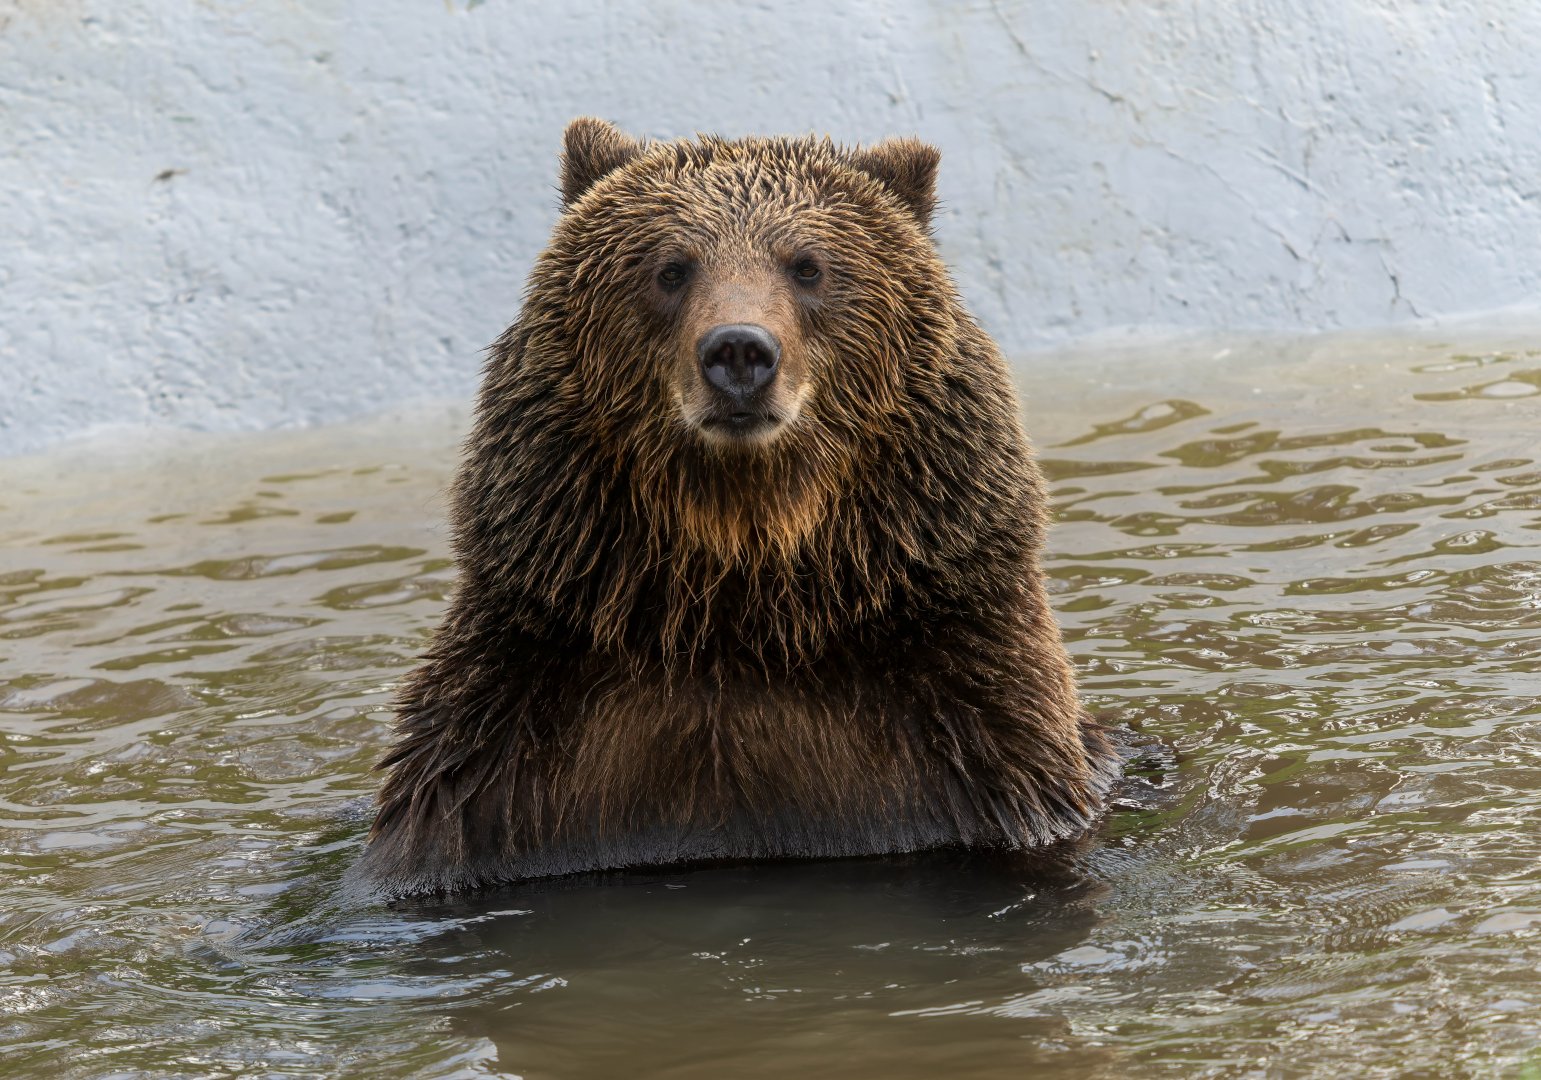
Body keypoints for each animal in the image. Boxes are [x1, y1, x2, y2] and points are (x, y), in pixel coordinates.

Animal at [354, 118, 1123, 897]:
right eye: (670, 268)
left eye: (808, 266)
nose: (740, 352)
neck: (740, 604)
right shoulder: (499, 760)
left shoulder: (974, 726)